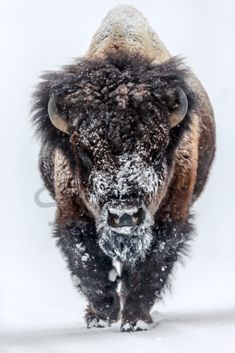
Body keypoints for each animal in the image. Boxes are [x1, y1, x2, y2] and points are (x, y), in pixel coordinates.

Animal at [32, 4, 216, 330]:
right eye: (85, 153)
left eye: (157, 151)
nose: (125, 214)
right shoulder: (71, 214)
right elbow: (89, 263)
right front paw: (102, 315)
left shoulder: (171, 215)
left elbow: (153, 265)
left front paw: (135, 320)